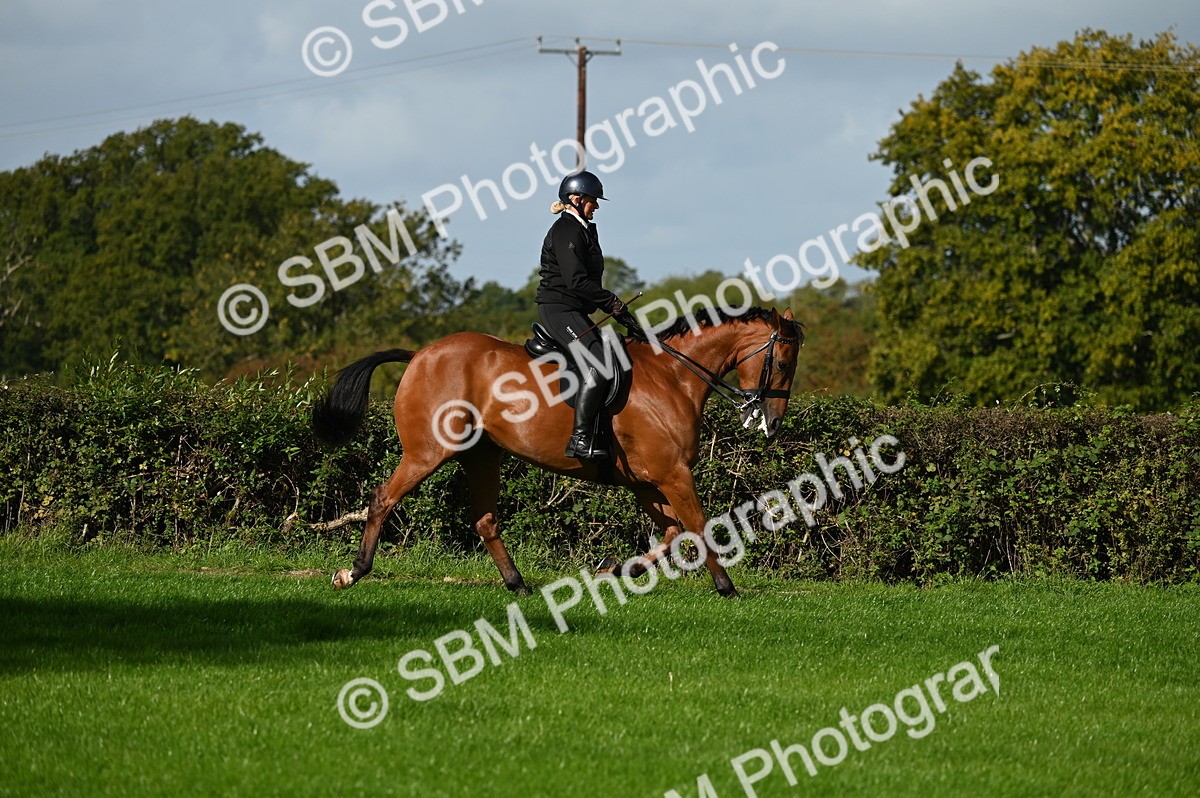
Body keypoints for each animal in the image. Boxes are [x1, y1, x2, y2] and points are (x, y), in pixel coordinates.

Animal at [311, 305, 803, 598]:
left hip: (482, 455)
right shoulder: (672, 474)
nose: (773, 423)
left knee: (485, 519)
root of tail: (419, 356)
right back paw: (353, 572)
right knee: (383, 498)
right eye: (782, 362)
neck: (673, 376)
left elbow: (670, 533)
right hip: (428, 452)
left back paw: (517, 584)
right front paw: (726, 586)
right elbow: (699, 527)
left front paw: (614, 570)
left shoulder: (648, 482)